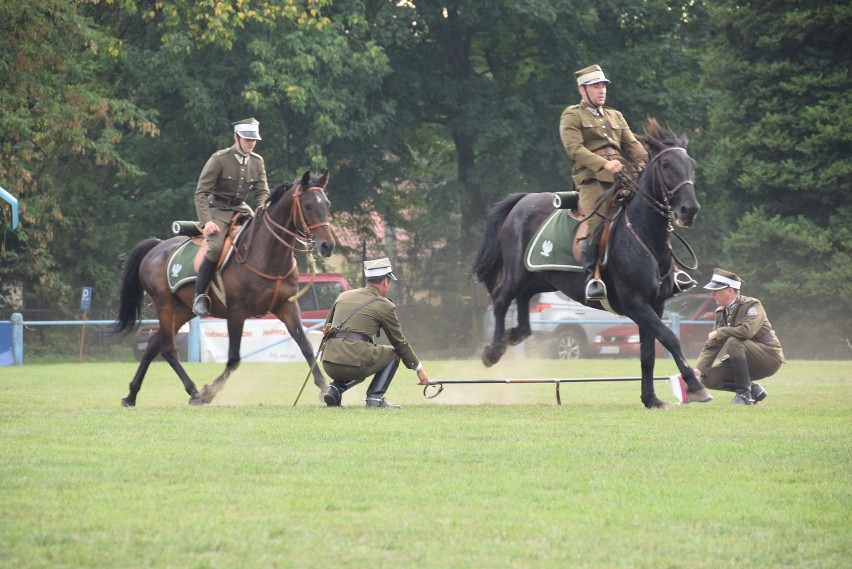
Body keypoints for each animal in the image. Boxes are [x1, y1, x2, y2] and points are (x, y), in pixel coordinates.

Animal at [112, 171, 336, 406]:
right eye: (308, 205)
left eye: (327, 204)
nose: (327, 245)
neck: (266, 255)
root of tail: (157, 246)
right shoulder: (236, 312)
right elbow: (234, 358)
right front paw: (209, 391)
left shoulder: (287, 307)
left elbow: (306, 347)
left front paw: (324, 388)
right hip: (164, 305)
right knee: (168, 349)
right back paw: (194, 392)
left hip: (183, 310)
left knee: (153, 346)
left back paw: (131, 395)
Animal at [472, 117, 712, 406]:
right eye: (665, 165)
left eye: (691, 165)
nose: (689, 209)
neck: (644, 235)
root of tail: (524, 200)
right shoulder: (635, 303)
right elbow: (669, 338)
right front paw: (695, 386)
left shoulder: (655, 304)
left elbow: (648, 354)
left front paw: (651, 399)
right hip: (517, 273)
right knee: (500, 298)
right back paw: (493, 351)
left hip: (541, 277)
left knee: (523, 298)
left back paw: (515, 334)